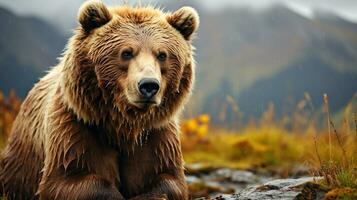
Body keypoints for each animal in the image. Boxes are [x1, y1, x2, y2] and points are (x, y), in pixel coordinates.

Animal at [0, 0, 199, 199]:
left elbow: (169, 180)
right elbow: (63, 181)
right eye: (126, 53)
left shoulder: (157, 136)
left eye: (162, 55)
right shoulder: (74, 129)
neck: (123, 126)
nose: (148, 85)